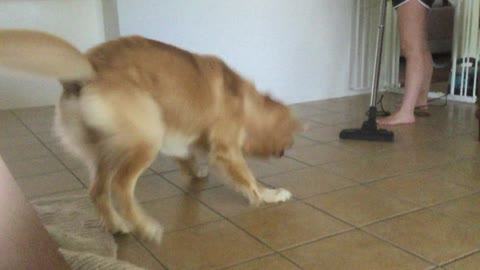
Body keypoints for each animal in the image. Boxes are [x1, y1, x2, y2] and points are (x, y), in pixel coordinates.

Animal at [0, 29, 300, 243]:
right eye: (288, 140)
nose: (284, 152)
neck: (244, 100)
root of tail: (90, 66)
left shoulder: (180, 137)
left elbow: (188, 156)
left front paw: (197, 171)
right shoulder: (226, 150)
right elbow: (249, 181)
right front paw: (270, 195)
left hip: (108, 150)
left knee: (97, 190)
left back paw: (116, 225)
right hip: (147, 138)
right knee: (120, 187)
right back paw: (143, 226)